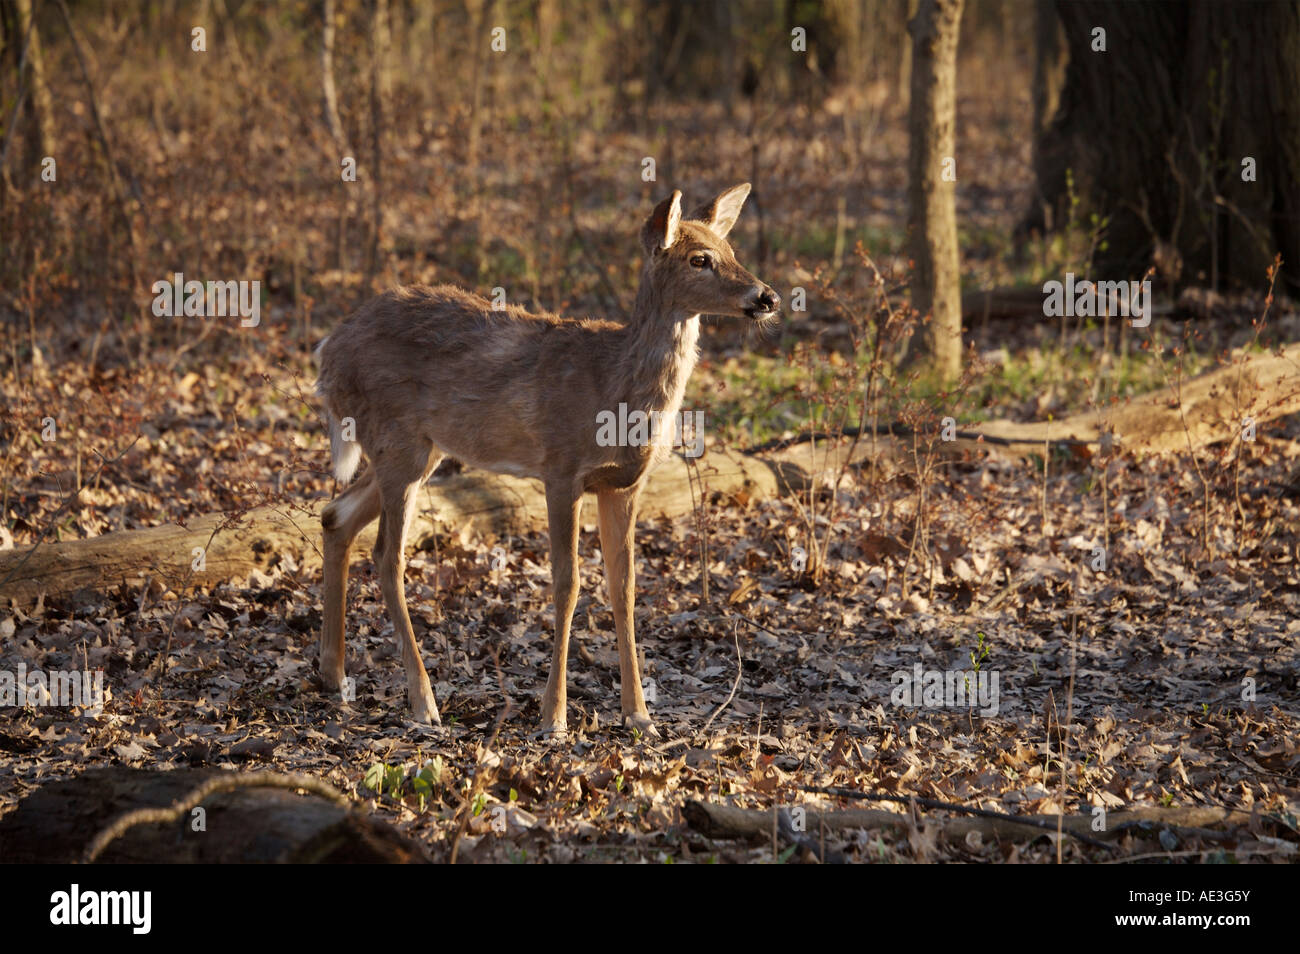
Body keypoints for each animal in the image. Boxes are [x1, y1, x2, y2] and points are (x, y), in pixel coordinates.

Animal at [314, 183, 779, 737]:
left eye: (731, 251)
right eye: (699, 259)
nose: (767, 297)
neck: (614, 388)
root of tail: (327, 352)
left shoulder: (625, 484)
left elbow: (624, 587)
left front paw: (639, 714)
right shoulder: (561, 469)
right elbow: (568, 584)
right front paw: (553, 717)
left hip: (418, 449)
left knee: (336, 516)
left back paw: (333, 675)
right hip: (398, 441)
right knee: (387, 555)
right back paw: (423, 702)